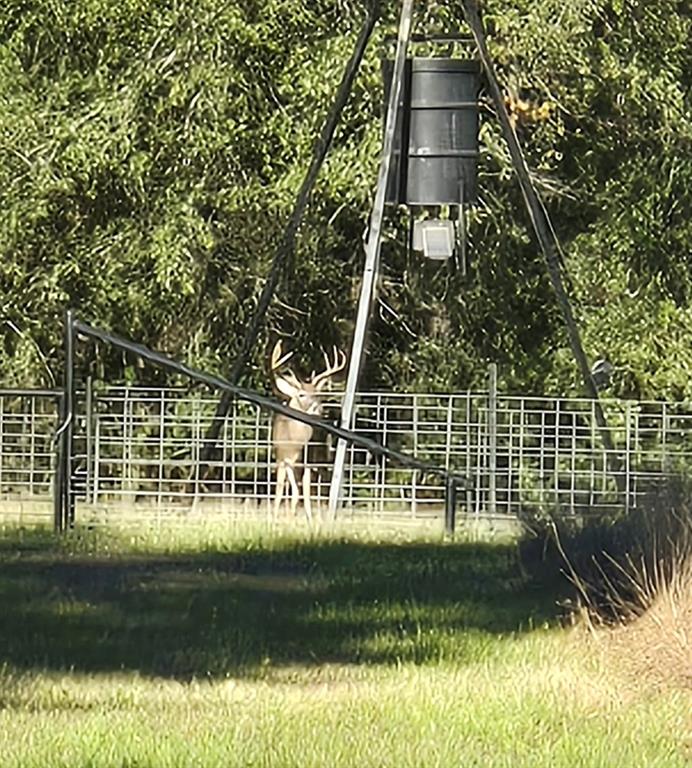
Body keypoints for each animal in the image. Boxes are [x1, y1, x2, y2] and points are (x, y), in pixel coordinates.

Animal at [270, 342, 346, 520]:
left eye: (318, 394)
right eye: (302, 395)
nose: (319, 408)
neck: (295, 443)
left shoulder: (307, 462)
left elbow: (303, 492)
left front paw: (304, 518)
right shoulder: (284, 459)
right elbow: (285, 491)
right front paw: (280, 517)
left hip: (320, 454)